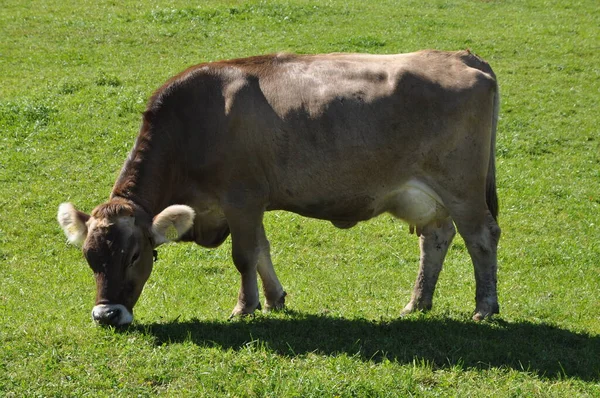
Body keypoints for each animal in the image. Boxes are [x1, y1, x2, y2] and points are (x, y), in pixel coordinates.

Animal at [57, 49, 502, 326]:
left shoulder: (241, 198)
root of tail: (461, 56)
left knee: (481, 235)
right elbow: (261, 250)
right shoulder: (249, 204)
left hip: (461, 187)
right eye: (89, 258)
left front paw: (245, 307)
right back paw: (417, 302)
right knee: (436, 237)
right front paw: (274, 300)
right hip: (425, 194)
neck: (194, 122)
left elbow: (244, 256)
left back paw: (485, 307)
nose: (107, 316)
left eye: (134, 255)